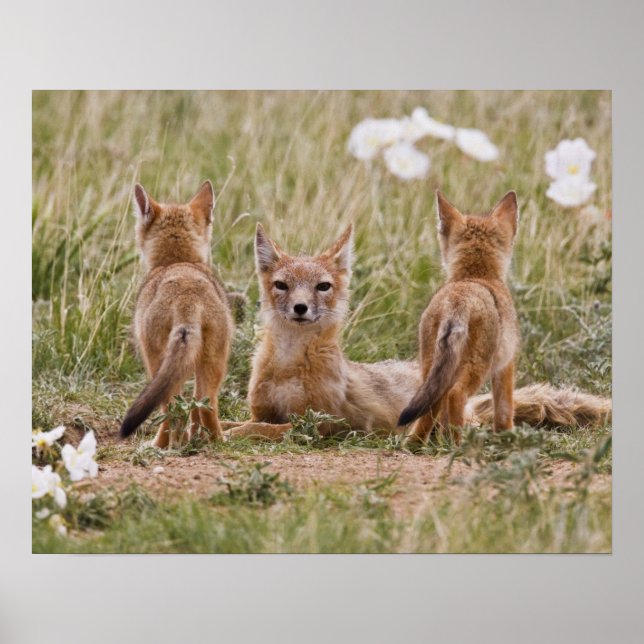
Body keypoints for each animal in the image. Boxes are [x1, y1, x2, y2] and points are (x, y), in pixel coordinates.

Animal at [119, 181, 233, 448]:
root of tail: (186, 294)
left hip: (157, 362)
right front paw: (193, 438)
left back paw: (159, 445)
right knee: (205, 404)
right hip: (213, 361)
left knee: (170, 408)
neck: (177, 262)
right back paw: (216, 442)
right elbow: (193, 409)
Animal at [224, 219, 610, 441]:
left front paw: (229, 436)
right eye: (282, 285)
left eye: (322, 286)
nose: (301, 308)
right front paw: (212, 433)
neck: (289, 365)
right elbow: (237, 422)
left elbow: (255, 429)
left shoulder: (318, 423)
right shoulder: (264, 411)